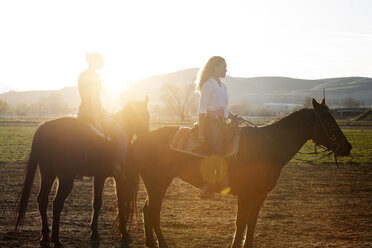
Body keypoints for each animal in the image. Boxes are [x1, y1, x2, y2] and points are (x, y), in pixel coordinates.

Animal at [14, 98, 149, 247]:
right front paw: (124, 232)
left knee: (42, 199)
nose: (145, 137)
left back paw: (45, 235)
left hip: (48, 175)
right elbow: (121, 202)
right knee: (57, 204)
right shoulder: (119, 176)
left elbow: (97, 202)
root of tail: (46, 127)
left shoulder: (100, 177)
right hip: (65, 179)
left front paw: (94, 232)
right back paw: (56, 239)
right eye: (146, 116)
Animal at [127, 98, 352, 247]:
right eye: (327, 120)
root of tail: (139, 140)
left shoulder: (259, 196)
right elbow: (241, 222)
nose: (347, 146)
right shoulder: (245, 194)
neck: (267, 146)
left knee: (147, 209)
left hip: (156, 184)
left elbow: (250, 222)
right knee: (152, 212)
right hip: (158, 183)